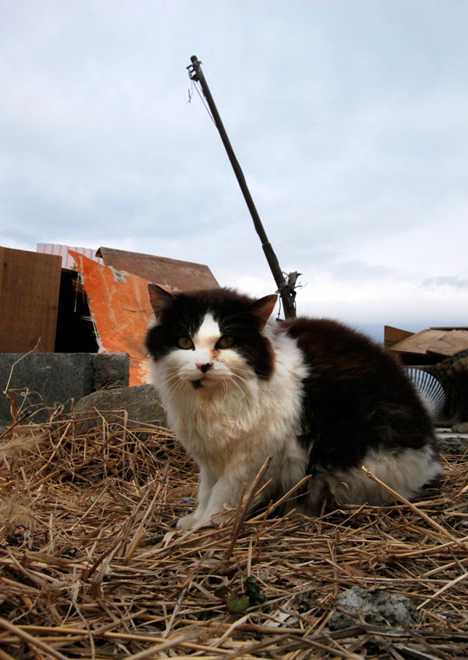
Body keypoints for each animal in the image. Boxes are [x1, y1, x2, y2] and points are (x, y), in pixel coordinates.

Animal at [146, 284, 442, 532]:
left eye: (226, 342)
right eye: (185, 343)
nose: (203, 365)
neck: (213, 400)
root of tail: (429, 461)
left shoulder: (251, 460)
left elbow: (223, 494)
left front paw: (204, 525)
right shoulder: (210, 460)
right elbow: (205, 491)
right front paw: (192, 520)